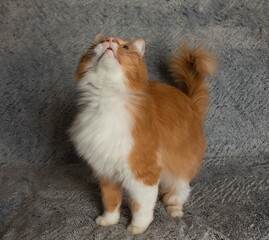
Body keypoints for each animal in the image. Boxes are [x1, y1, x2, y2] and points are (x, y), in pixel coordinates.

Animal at [69, 34, 216, 234]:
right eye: (99, 43)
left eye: (125, 47)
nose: (110, 40)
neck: (107, 100)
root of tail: (190, 102)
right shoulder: (107, 172)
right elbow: (110, 201)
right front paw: (109, 220)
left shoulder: (143, 172)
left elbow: (141, 205)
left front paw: (137, 227)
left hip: (179, 163)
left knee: (180, 189)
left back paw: (174, 209)